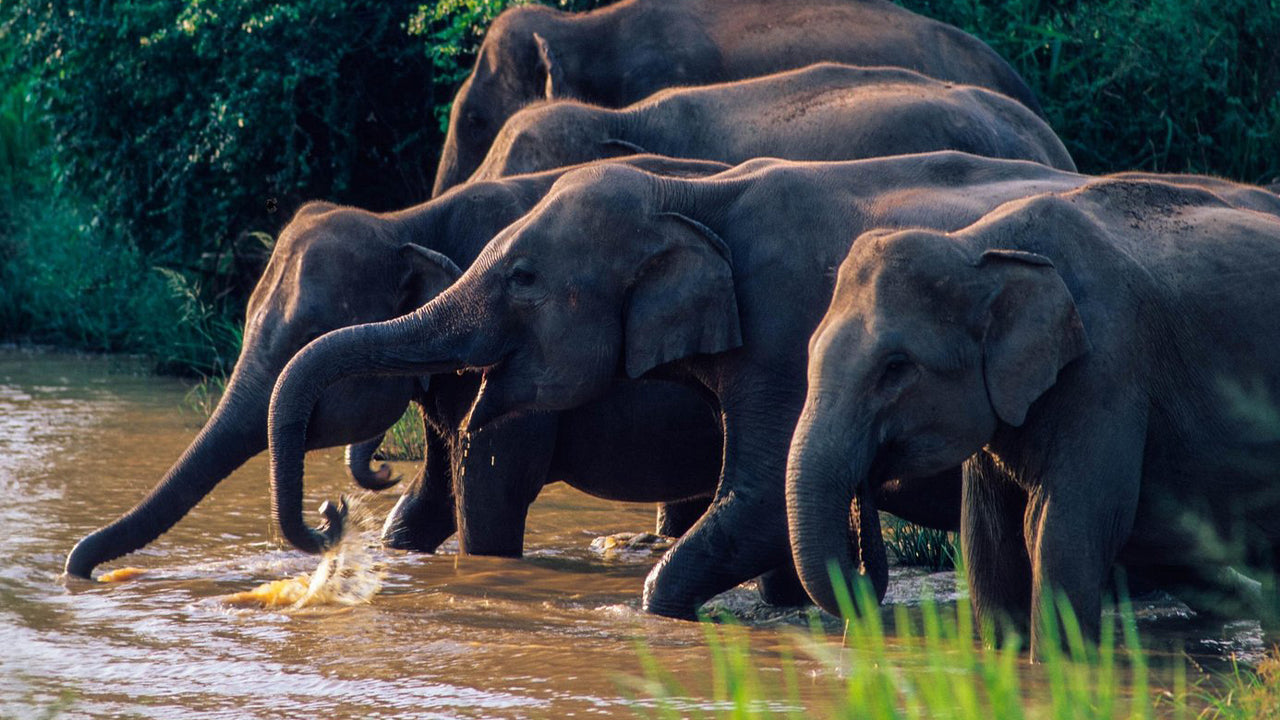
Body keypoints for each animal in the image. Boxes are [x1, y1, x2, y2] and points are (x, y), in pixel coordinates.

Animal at [63, 154, 732, 580]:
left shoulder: (520, 351)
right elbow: (431, 495)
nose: (331, 511)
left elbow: (489, 493)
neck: (406, 220)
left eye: (307, 334)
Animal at [786, 174, 1280, 656]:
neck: (977, 247)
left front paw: (1061, 666)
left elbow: (1061, 531)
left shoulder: (1108, 370)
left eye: (896, 368)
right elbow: (989, 540)